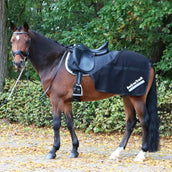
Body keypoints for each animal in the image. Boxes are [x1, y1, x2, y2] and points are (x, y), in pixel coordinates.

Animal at [10, 22, 159, 161]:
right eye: (12, 40)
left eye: (27, 41)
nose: (18, 63)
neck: (54, 62)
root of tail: (148, 62)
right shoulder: (66, 101)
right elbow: (70, 123)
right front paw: (74, 150)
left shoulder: (56, 99)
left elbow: (56, 124)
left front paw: (53, 151)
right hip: (126, 97)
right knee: (130, 122)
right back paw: (117, 152)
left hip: (137, 98)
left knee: (144, 121)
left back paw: (141, 154)